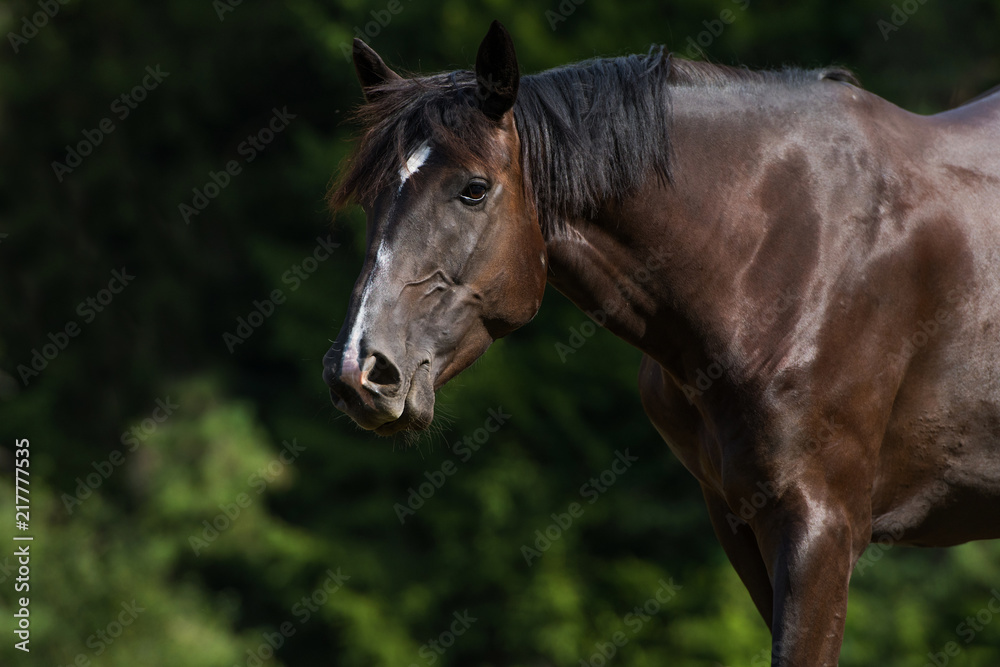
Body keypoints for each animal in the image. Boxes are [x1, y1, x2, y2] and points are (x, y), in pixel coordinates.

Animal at [322, 20, 1000, 665]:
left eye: (473, 189)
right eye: (371, 197)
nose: (359, 369)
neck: (787, 249)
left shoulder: (821, 526)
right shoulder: (741, 523)